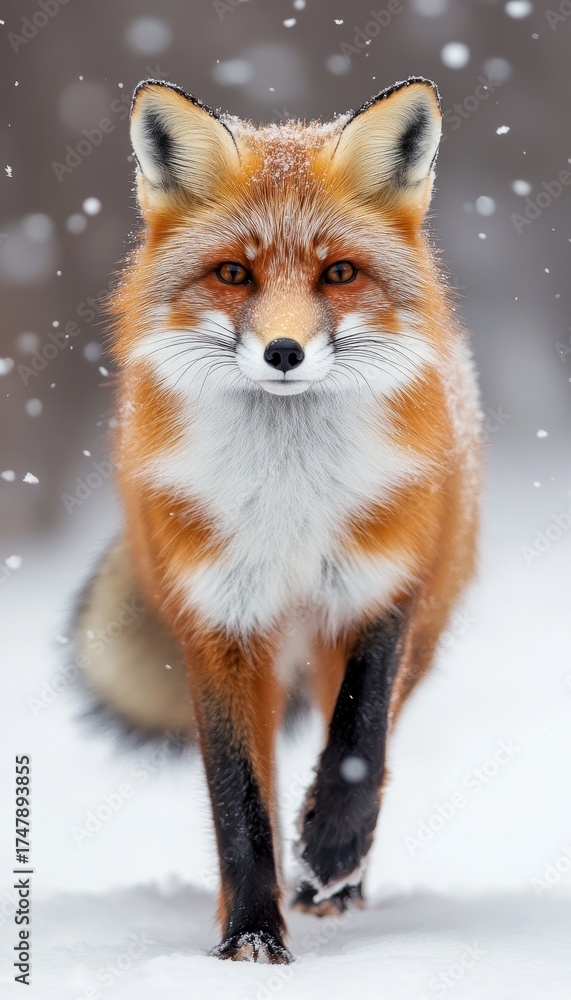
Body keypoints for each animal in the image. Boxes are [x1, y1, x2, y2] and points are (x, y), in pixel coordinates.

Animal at [72, 76, 482, 964]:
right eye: (234, 272)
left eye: (338, 273)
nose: (284, 353)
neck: (289, 502)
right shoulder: (218, 622)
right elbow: (238, 801)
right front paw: (251, 937)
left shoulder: (381, 589)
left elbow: (357, 746)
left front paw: (328, 849)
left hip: (409, 624)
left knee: (366, 736)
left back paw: (337, 882)